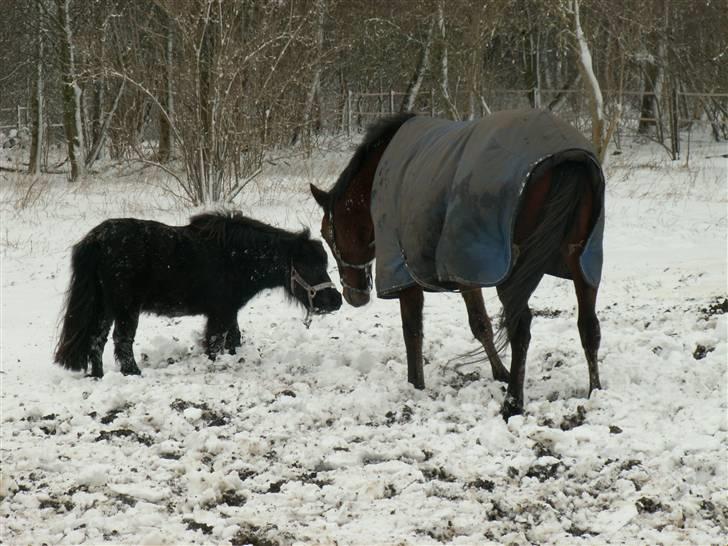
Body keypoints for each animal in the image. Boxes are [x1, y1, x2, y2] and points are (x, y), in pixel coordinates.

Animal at [54, 210, 344, 376]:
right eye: (307, 266)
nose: (336, 300)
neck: (238, 256)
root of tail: (96, 239)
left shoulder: (229, 311)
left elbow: (233, 339)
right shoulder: (220, 313)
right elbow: (215, 342)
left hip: (105, 307)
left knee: (97, 339)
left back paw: (98, 375)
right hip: (126, 308)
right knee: (121, 341)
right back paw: (133, 373)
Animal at [310, 109, 604, 416]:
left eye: (327, 234)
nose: (352, 295)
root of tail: (564, 157)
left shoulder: (405, 273)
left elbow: (412, 330)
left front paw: (415, 386)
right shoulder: (464, 268)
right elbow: (480, 324)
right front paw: (500, 373)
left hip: (517, 271)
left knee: (521, 327)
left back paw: (512, 403)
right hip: (582, 261)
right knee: (589, 326)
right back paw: (594, 392)